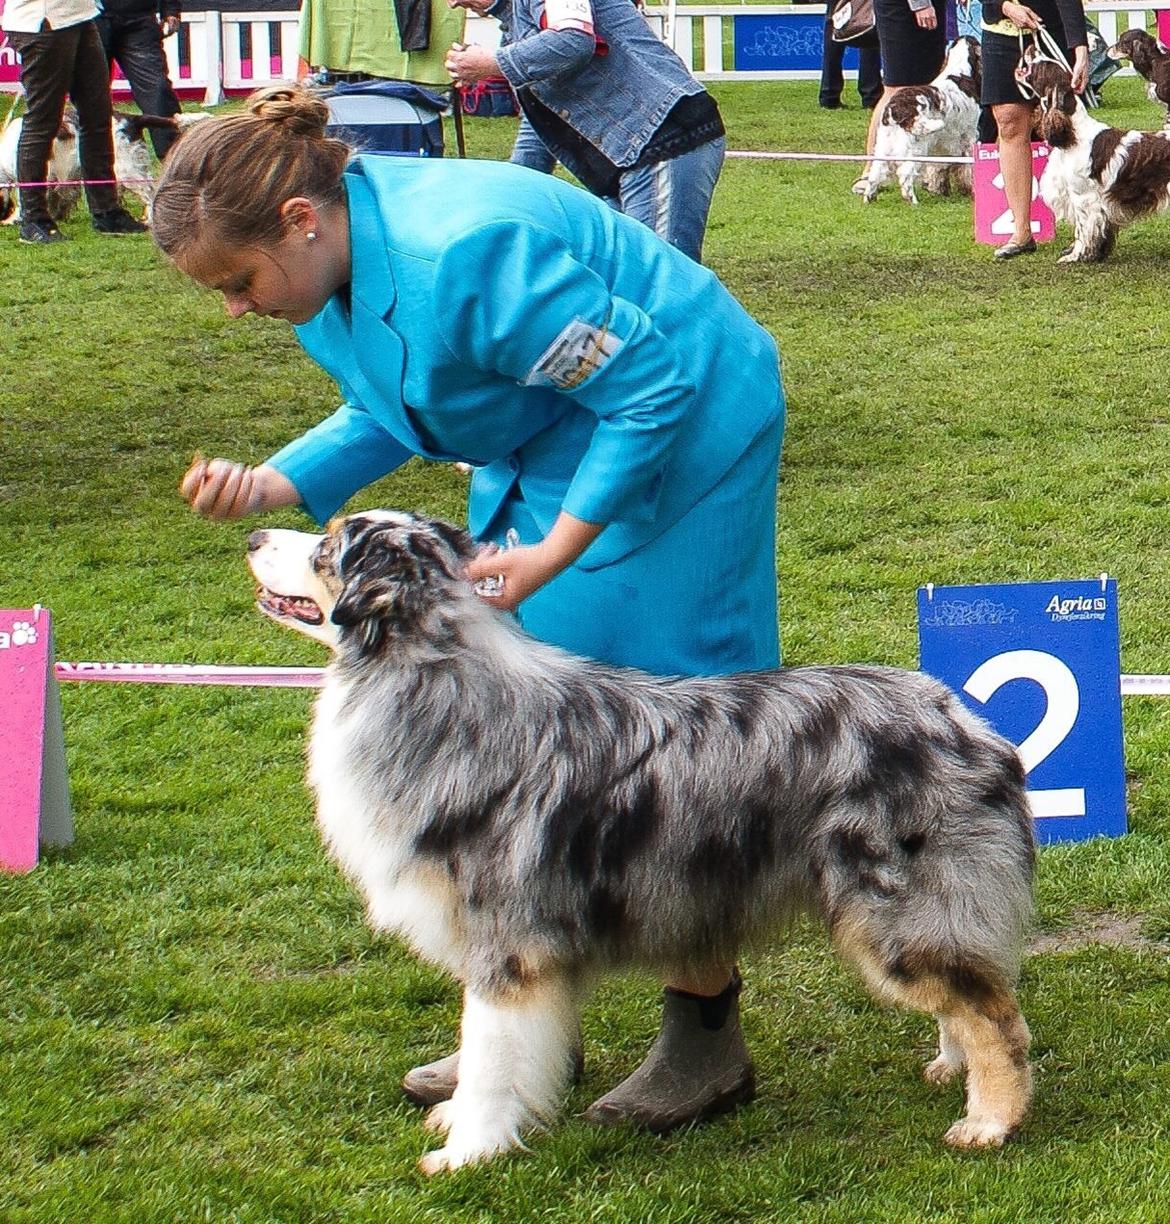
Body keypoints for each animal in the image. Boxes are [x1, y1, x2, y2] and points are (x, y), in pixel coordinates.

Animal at [247, 509, 1032, 1175]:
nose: (252, 534)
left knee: (996, 1014)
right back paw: (952, 1064)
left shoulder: (505, 943)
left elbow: (491, 1057)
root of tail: (965, 719)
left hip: (896, 911)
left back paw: (990, 1120)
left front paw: (470, 1151)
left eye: (326, 548)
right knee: (970, 991)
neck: (431, 681)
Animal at [861, 35, 979, 204]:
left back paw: (869, 198)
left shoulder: (941, 145)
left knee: (876, 172)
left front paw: (939, 189)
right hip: (916, 147)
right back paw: (913, 201)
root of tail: (895, 108)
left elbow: (938, 167)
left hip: (884, 145)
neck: (959, 73)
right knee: (905, 173)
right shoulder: (968, 136)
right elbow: (966, 168)